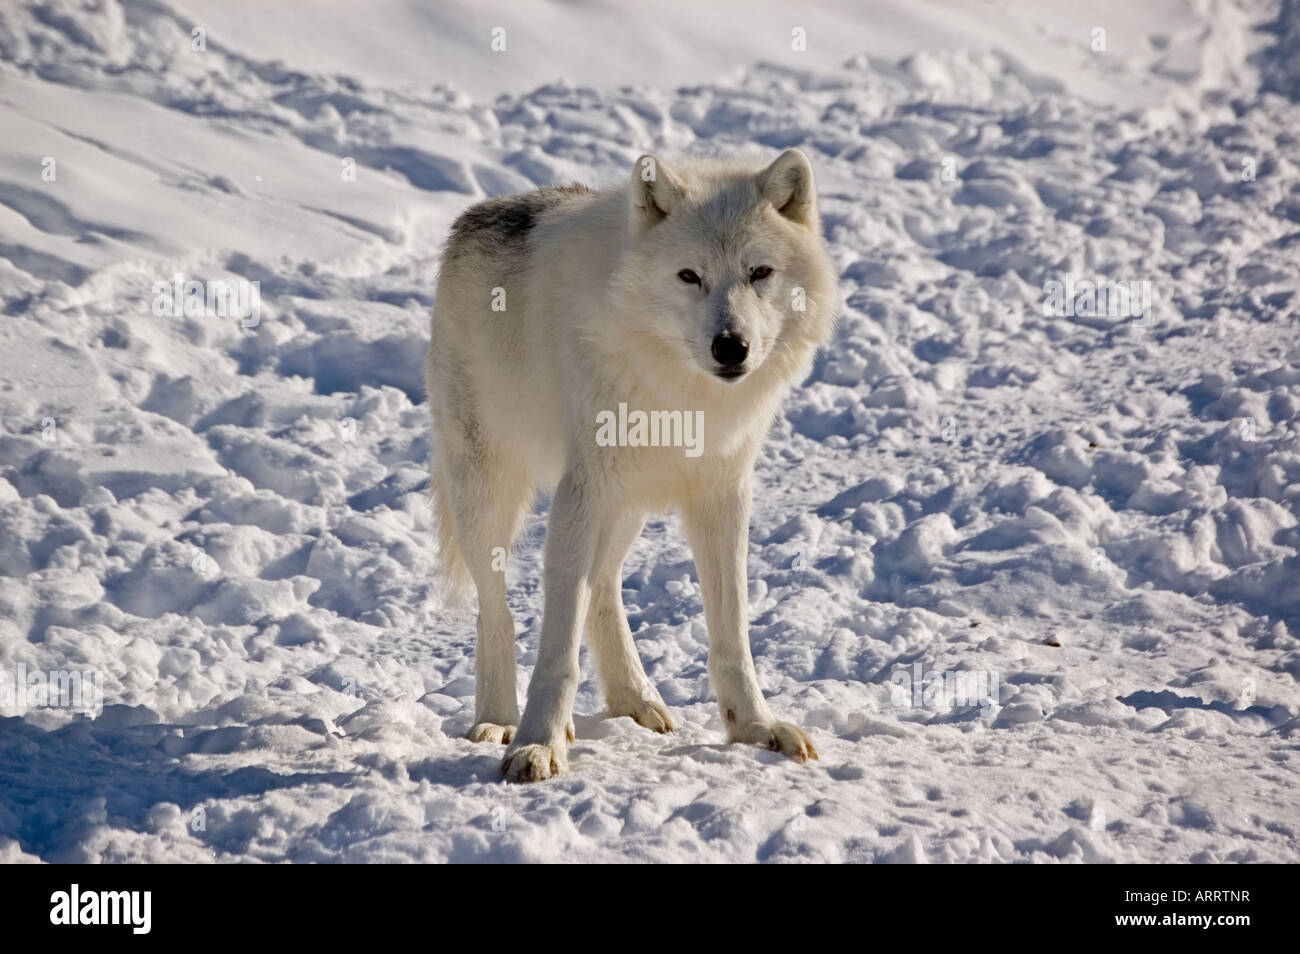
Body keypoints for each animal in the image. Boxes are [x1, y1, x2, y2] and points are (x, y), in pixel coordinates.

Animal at [423, 147, 832, 779]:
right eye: (689, 276)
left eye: (759, 273)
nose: (730, 346)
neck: (682, 394)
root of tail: (476, 216)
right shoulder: (584, 488)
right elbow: (557, 643)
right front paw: (537, 744)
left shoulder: (723, 492)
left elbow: (732, 632)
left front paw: (755, 728)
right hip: (490, 494)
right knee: (498, 612)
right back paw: (497, 722)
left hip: (629, 503)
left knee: (603, 589)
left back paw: (634, 700)